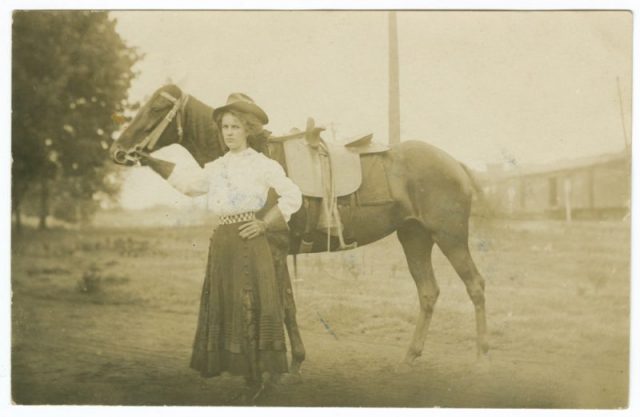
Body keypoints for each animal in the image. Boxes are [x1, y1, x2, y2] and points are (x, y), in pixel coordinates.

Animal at [111, 83, 490, 376]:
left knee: (474, 285)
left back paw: (481, 357)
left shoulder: (274, 245)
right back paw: (410, 357)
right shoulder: (279, 250)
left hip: (449, 236)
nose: (119, 150)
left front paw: (291, 363)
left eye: (157, 107)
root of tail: (455, 163)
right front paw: (294, 361)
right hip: (414, 237)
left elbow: (284, 305)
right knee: (428, 292)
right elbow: (287, 305)